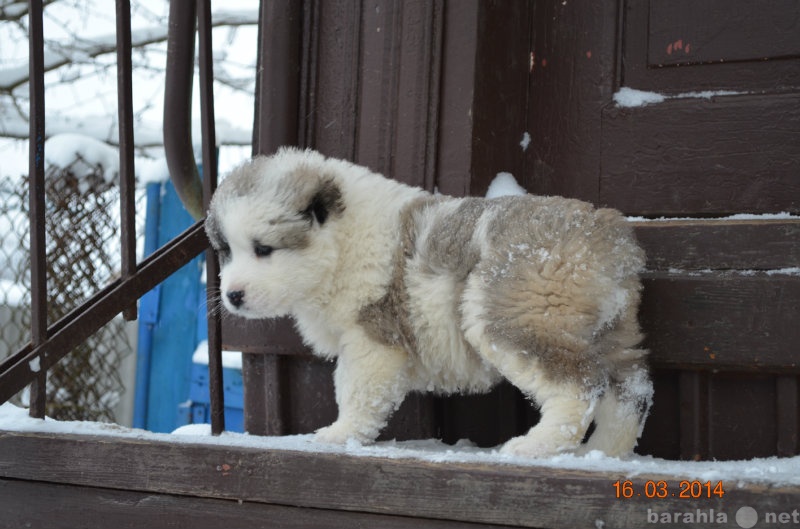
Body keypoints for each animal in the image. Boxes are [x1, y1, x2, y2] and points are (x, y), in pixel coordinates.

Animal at [205, 146, 648, 456]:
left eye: (263, 249)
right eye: (225, 251)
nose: (233, 296)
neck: (341, 243)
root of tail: (604, 237)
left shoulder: (370, 339)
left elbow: (356, 390)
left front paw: (340, 434)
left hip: (514, 317)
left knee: (578, 386)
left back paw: (536, 445)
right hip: (609, 329)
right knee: (631, 390)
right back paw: (605, 451)